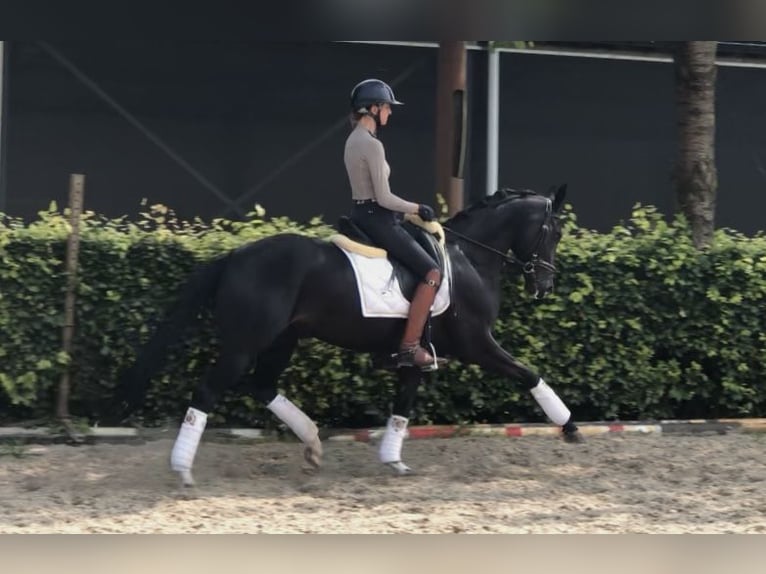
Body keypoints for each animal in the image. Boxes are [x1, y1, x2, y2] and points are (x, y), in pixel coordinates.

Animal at [123, 183, 584, 486]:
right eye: (555, 231)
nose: (545, 285)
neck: (469, 257)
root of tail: (235, 254)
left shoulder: (417, 353)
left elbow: (403, 405)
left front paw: (393, 460)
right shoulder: (477, 344)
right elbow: (529, 374)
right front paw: (570, 426)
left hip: (283, 339)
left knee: (263, 385)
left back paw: (312, 446)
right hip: (244, 343)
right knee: (208, 391)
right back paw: (183, 469)